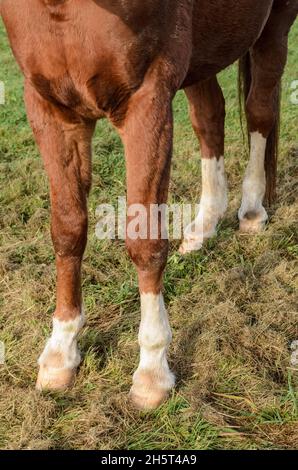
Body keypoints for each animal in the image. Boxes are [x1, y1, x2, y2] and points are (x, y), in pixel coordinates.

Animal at [1, 0, 296, 408]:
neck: (62, 11)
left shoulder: (147, 103)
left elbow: (145, 241)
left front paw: (152, 371)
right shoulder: (51, 109)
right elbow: (68, 230)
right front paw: (61, 351)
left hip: (274, 28)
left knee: (259, 110)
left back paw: (252, 210)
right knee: (210, 116)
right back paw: (202, 227)